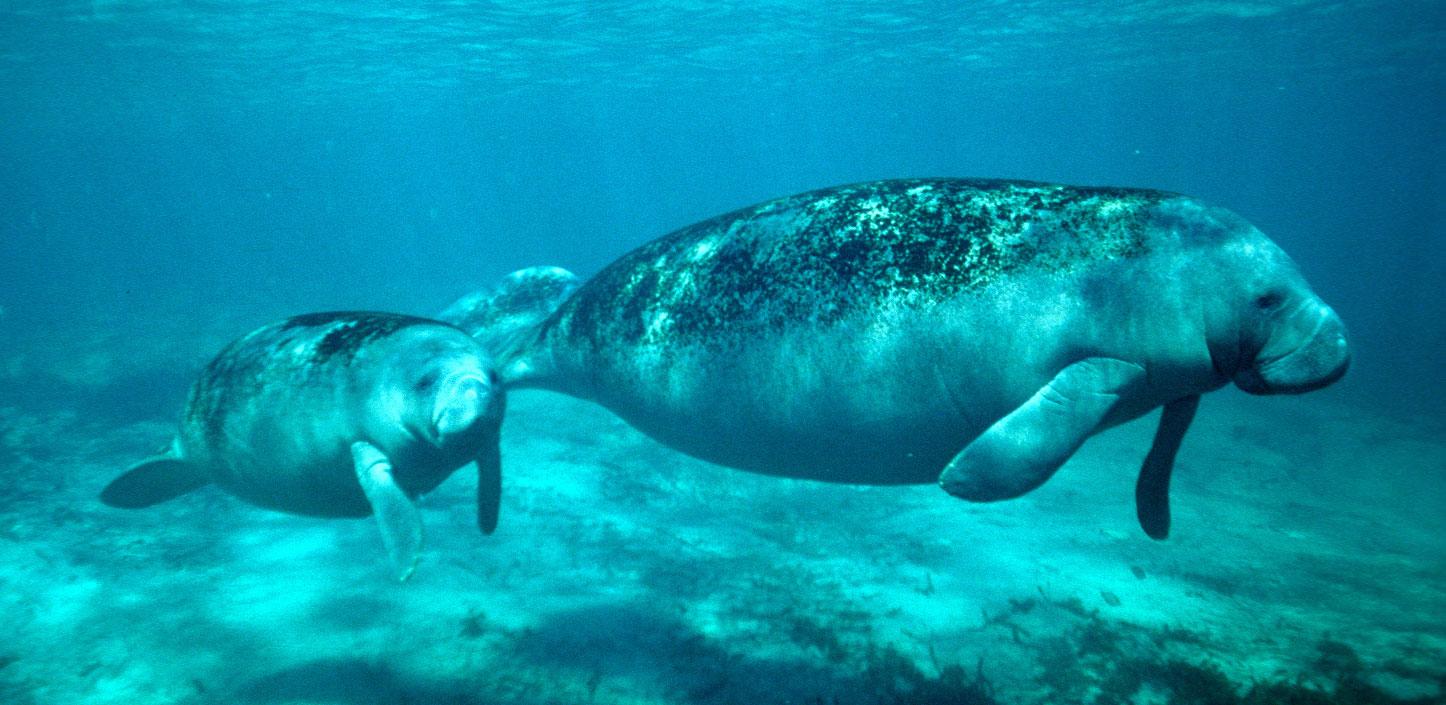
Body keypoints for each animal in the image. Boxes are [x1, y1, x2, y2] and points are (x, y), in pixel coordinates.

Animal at [100, 312, 503, 577]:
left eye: (495, 376)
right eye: (425, 382)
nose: (474, 391)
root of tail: (181, 448)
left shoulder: (490, 443)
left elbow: (491, 480)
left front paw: (486, 525)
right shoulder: (365, 442)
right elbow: (395, 510)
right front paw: (406, 565)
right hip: (189, 447)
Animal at [454, 179, 1353, 537]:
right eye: (1268, 297)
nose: (1339, 351)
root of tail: (533, 338)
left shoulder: (1185, 377)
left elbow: (1163, 456)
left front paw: (1155, 521)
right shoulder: (1107, 364)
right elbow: (1031, 443)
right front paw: (963, 479)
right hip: (549, 345)